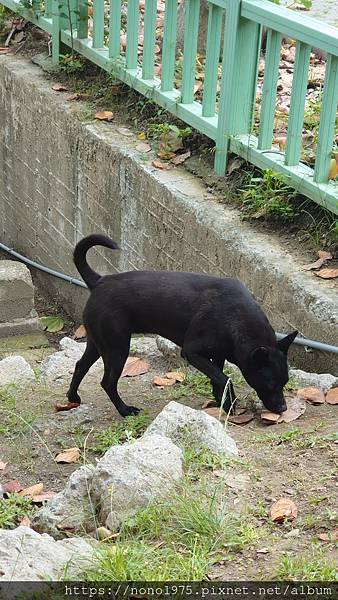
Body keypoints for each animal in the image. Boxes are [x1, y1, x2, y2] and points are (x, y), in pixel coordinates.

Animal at [67, 234, 298, 418]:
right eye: (269, 384)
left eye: (285, 382)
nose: (283, 408)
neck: (236, 317)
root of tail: (99, 281)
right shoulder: (192, 352)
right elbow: (224, 379)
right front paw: (230, 403)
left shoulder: (217, 354)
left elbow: (217, 378)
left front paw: (222, 402)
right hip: (117, 349)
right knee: (107, 382)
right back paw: (125, 410)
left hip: (99, 343)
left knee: (80, 366)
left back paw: (73, 397)